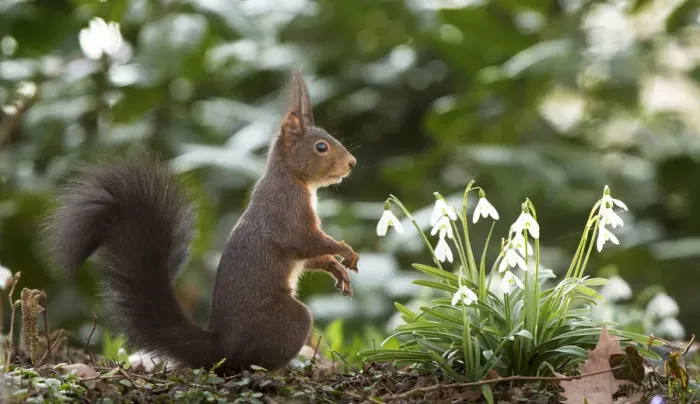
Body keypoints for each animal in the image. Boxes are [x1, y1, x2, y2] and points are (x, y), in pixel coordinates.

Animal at [45, 71, 360, 374]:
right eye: (321, 147)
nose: (352, 163)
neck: (291, 177)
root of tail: (221, 347)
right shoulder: (286, 212)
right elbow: (305, 242)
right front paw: (345, 251)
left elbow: (311, 257)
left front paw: (337, 269)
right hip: (290, 321)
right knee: (249, 362)